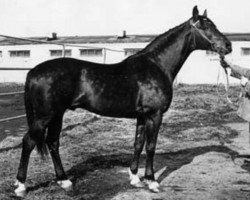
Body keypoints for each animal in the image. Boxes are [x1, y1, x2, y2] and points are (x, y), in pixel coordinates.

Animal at [15, 5, 230, 195]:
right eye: (204, 26)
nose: (228, 46)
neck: (156, 65)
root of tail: (33, 72)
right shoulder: (155, 115)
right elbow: (151, 146)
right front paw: (151, 181)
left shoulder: (142, 116)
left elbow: (138, 143)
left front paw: (134, 177)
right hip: (45, 116)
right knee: (28, 141)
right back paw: (21, 185)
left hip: (57, 115)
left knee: (52, 142)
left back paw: (64, 181)